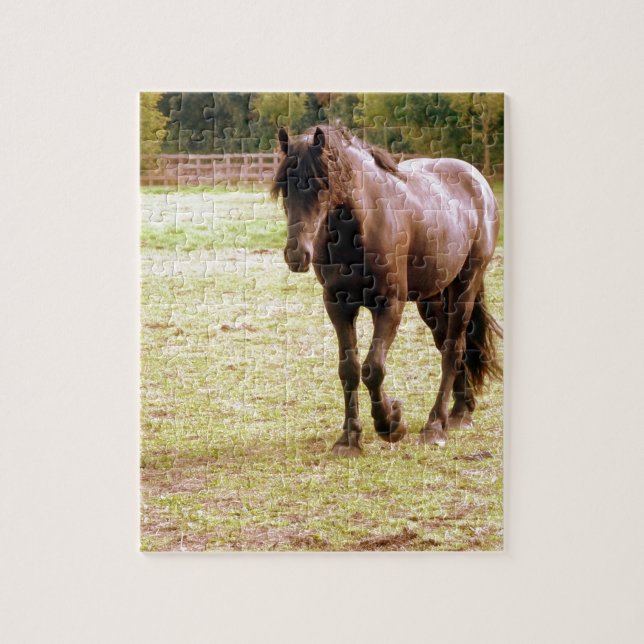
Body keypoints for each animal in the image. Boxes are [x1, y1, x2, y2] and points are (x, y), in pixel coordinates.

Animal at [271, 123, 502, 456]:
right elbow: (349, 369)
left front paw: (391, 423)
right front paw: (349, 438)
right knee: (447, 345)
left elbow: (373, 368)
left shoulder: (389, 305)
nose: (296, 254)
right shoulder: (338, 306)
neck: (359, 229)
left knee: (453, 348)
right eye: (284, 188)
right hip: (431, 300)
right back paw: (460, 411)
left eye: (321, 184)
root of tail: (478, 181)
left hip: (465, 286)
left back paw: (435, 425)